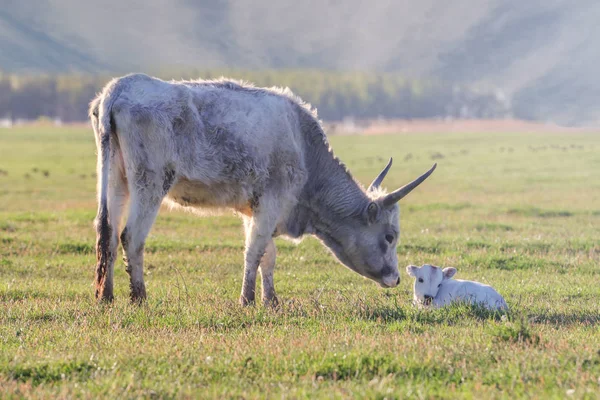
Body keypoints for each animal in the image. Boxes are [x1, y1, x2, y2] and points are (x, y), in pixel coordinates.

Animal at [89, 73, 436, 304]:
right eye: (389, 236)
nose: (396, 277)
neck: (304, 146)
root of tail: (120, 87)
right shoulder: (271, 202)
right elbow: (254, 251)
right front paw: (248, 300)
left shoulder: (255, 208)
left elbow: (267, 255)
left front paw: (271, 300)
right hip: (149, 182)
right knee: (131, 236)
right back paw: (139, 297)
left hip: (116, 179)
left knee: (107, 232)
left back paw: (106, 296)